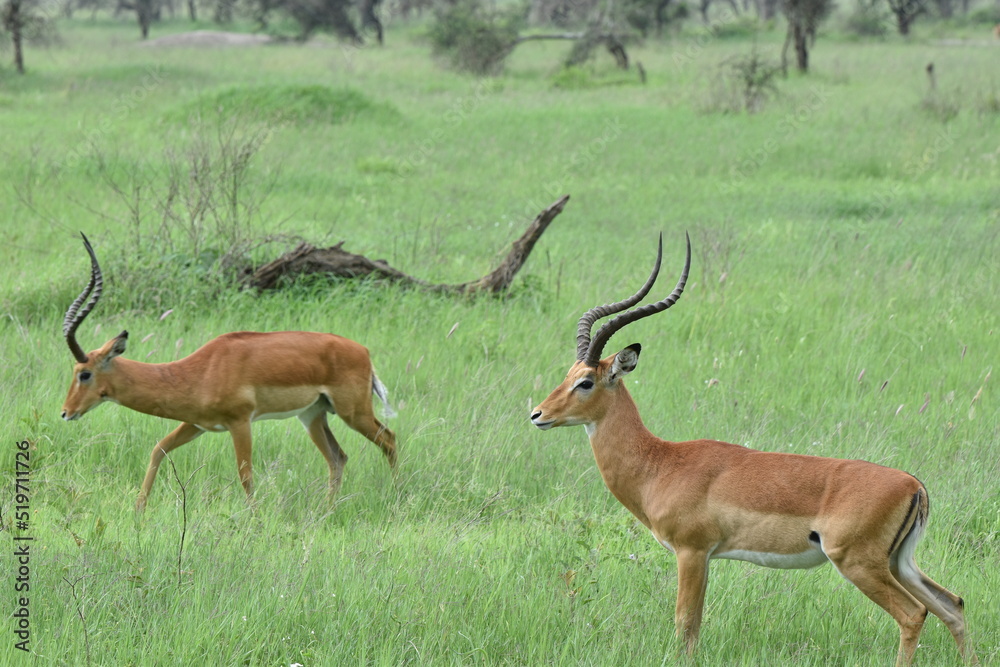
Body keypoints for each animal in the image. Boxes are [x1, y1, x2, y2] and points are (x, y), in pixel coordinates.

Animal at [61, 234, 397, 511]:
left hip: (353, 412)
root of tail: (363, 352)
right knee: (338, 458)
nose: (66, 412)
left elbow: (245, 474)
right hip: (313, 415)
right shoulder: (196, 423)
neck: (199, 371)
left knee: (389, 439)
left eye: (84, 373)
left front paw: (254, 520)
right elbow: (159, 449)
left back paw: (395, 496)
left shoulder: (240, 422)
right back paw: (328, 510)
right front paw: (138, 511)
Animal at [530, 235, 970, 666]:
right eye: (568, 375)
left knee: (914, 614)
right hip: (900, 562)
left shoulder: (692, 552)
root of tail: (914, 485)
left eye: (586, 382)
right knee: (953, 605)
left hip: (859, 563)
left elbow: (685, 624)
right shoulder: (704, 557)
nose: (537, 414)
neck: (660, 464)